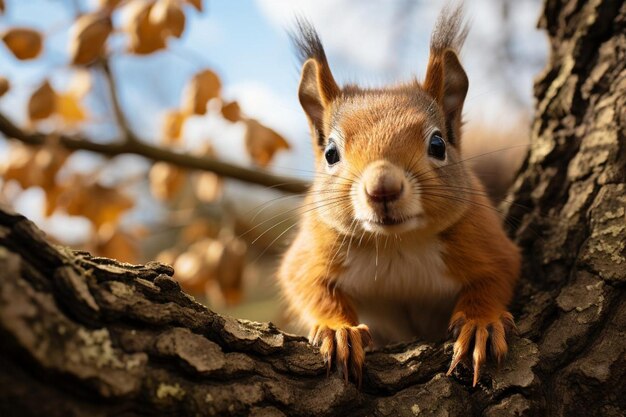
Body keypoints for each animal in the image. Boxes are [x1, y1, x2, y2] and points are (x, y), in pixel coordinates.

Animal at [276, 3, 516, 386]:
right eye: (330, 153)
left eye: (438, 145)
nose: (382, 187)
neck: (394, 244)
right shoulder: (313, 249)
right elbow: (308, 286)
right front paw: (338, 330)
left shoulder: (486, 240)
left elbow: (495, 278)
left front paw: (482, 324)